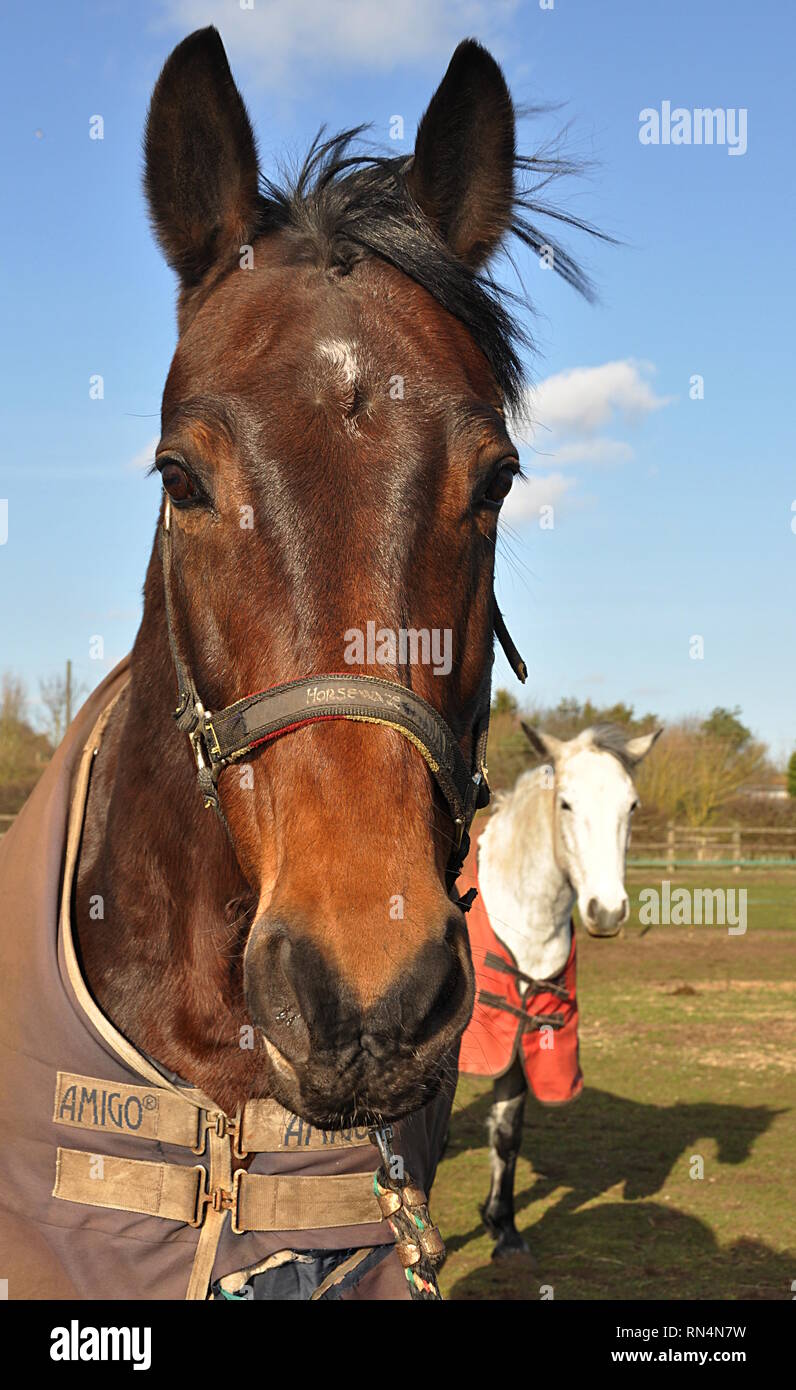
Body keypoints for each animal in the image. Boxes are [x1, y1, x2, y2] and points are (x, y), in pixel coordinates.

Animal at [475, 722, 661, 1256]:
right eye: (566, 804)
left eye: (631, 805)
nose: (607, 910)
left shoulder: (521, 1040)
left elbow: (507, 1134)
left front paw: (504, 1226)